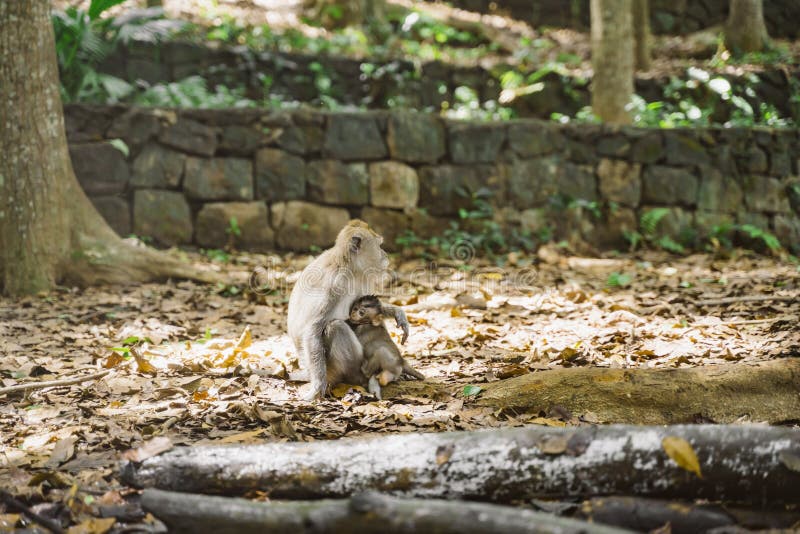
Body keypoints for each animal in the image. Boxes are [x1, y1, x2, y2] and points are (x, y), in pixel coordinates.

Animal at [288, 220, 410, 400]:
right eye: (379, 245)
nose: (385, 254)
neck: (349, 267)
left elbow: (371, 304)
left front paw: (397, 312)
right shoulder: (334, 283)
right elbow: (313, 330)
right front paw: (317, 387)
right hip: (334, 367)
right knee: (336, 327)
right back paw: (367, 377)